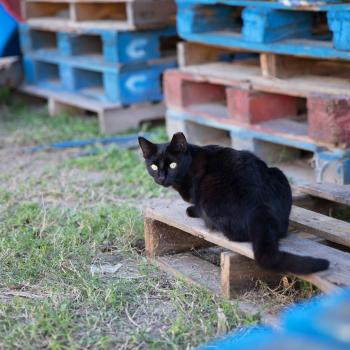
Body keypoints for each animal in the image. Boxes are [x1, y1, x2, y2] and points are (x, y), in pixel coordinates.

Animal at [138, 132, 330, 274]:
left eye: (172, 164)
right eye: (153, 166)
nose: (161, 177)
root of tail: (258, 206)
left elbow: (195, 206)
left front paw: (191, 209)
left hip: (209, 187)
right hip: (278, 174)